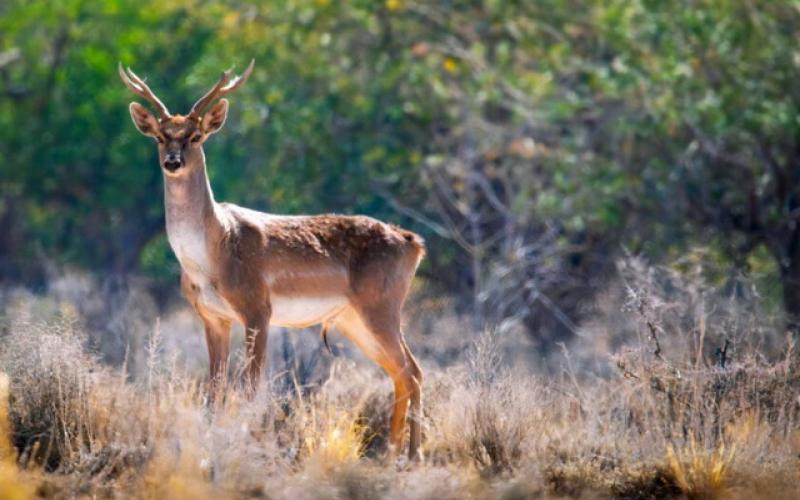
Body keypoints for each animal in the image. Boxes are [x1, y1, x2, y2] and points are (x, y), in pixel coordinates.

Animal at [119, 60, 424, 458]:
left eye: (196, 136)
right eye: (159, 136)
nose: (173, 161)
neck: (212, 252)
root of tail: (413, 243)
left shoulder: (257, 309)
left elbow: (251, 389)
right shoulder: (213, 317)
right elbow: (214, 390)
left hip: (381, 306)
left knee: (412, 371)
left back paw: (413, 454)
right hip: (352, 319)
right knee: (402, 372)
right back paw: (392, 452)